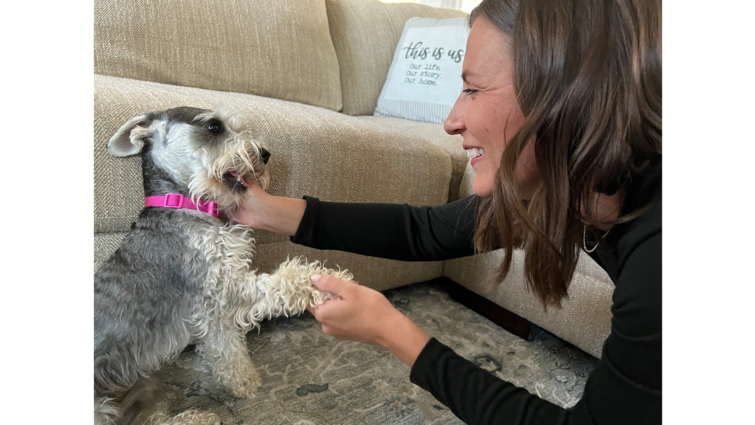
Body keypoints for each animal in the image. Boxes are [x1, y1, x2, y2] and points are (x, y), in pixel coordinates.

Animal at [94, 106, 352, 424]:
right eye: (214, 127)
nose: (265, 153)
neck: (184, 204)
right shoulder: (219, 293)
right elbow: (272, 292)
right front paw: (328, 279)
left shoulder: (222, 297)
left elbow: (234, 342)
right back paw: (199, 418)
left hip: (147, 382)